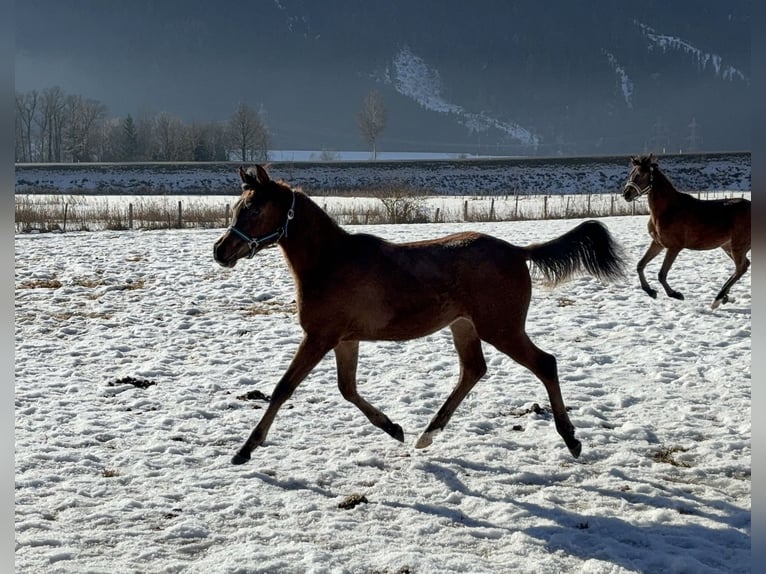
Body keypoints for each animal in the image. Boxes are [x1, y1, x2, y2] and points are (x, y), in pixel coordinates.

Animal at [213, 164, 628, 466]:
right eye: (237, 208)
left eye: (253, 209)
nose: (220, 251)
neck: (330, 263)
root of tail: (517, 251)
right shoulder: (345, 339)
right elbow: (348, 389)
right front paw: (394, 428)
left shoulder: (319, 337)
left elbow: (284, 388)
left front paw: (244, 450)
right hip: (464, 326)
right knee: (473, 370)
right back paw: (426, 434)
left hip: (501, 328)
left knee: (545, 363)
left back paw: (571, 440)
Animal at [624, 154, 752, 310]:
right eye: (631, 173)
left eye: (641, 174)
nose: (626, 194)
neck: (668, 210)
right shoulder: (657, 243)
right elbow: (640, 265)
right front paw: (650, 291)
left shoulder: (674, 247)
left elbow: (662, 274)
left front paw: (675, 294)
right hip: (728, 246)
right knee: (744, 266)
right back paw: (724, 297)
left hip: (738, 246)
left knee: (740, 269)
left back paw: (717, 299)